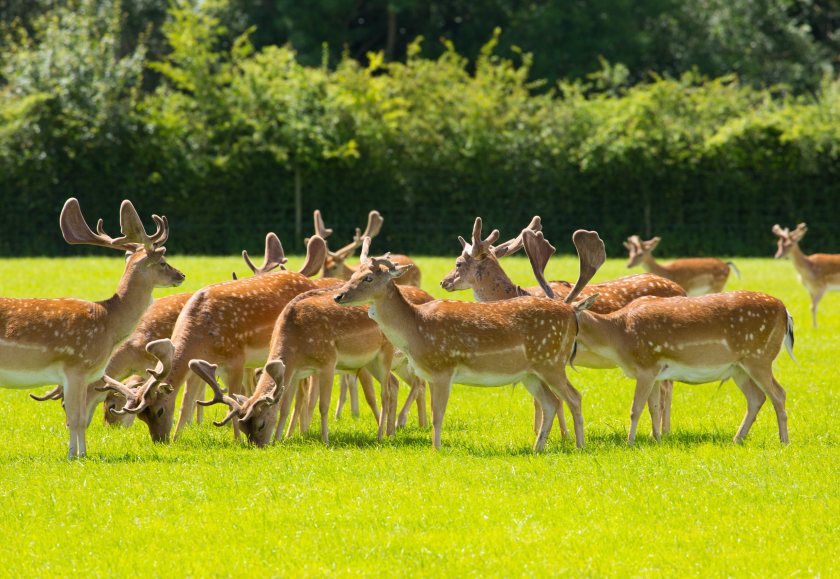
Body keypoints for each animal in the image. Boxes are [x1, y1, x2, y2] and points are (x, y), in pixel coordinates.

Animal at [0, 198, 184, 458]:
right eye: (163, 263)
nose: (181, 275)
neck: (109, 323)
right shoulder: (75, 367)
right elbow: (76, 418)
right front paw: (74, 456)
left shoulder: (85, 375)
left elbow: (80, 418)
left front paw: (82, 453)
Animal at [97, 235, 328, 443]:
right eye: (141, 416)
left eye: (160, 410)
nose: (160, 440)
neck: (203, 336)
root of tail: (309, 280)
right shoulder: (198, 364)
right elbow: (187, 402)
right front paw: (177, 438)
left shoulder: (237, 358)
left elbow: (233, 399)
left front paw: (237, 441)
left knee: (301, 390)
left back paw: (294, 433)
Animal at [329, 231, 606, 452]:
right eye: (354, 275)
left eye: (368, 278)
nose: (338, 296)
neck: (414, 330)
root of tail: (571, 312)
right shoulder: (430, 374)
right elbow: (434, 413)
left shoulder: (443, 367)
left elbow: (438, 415)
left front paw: (436, 450)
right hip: (531, 372)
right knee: (551, 402)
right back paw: (537, 448)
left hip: (552, 361)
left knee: (574, 396)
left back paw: (579, 445)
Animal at [440, 217, 687, 435]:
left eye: (458, 263)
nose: (444, 281)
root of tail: (682, 290)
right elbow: (539, 399)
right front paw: (539, 431)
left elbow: (555, 398)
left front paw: (562, 436)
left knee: (667, 387)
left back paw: (664, 431)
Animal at [529, 232, 794, 445]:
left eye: (565, 315)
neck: (619, 336)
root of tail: (786, 311)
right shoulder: (657, 370)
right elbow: (654, 406)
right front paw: (656, 439)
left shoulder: (647, 365)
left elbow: (635, 408)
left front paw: (630, 443)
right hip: (738, 367)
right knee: (757, 397)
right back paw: (737, 439)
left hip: (759, 357)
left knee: (779, 393)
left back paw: (783, 440)